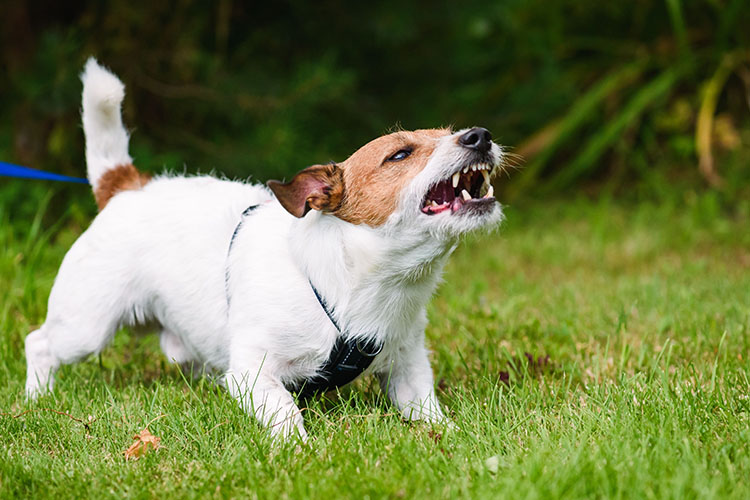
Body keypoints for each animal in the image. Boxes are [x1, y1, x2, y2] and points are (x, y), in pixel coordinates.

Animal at [25, 58, 506, 440]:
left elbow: (426, 408)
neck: (356, 282)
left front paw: (450, 437)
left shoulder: (408, 366)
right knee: (39, 343)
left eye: (451, 132)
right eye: (400, 155)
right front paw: (300, 450)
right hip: (85, 326)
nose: (480, 135)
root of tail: (126, 186)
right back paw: (36, 399)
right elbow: (285, 411)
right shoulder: (252, 373)